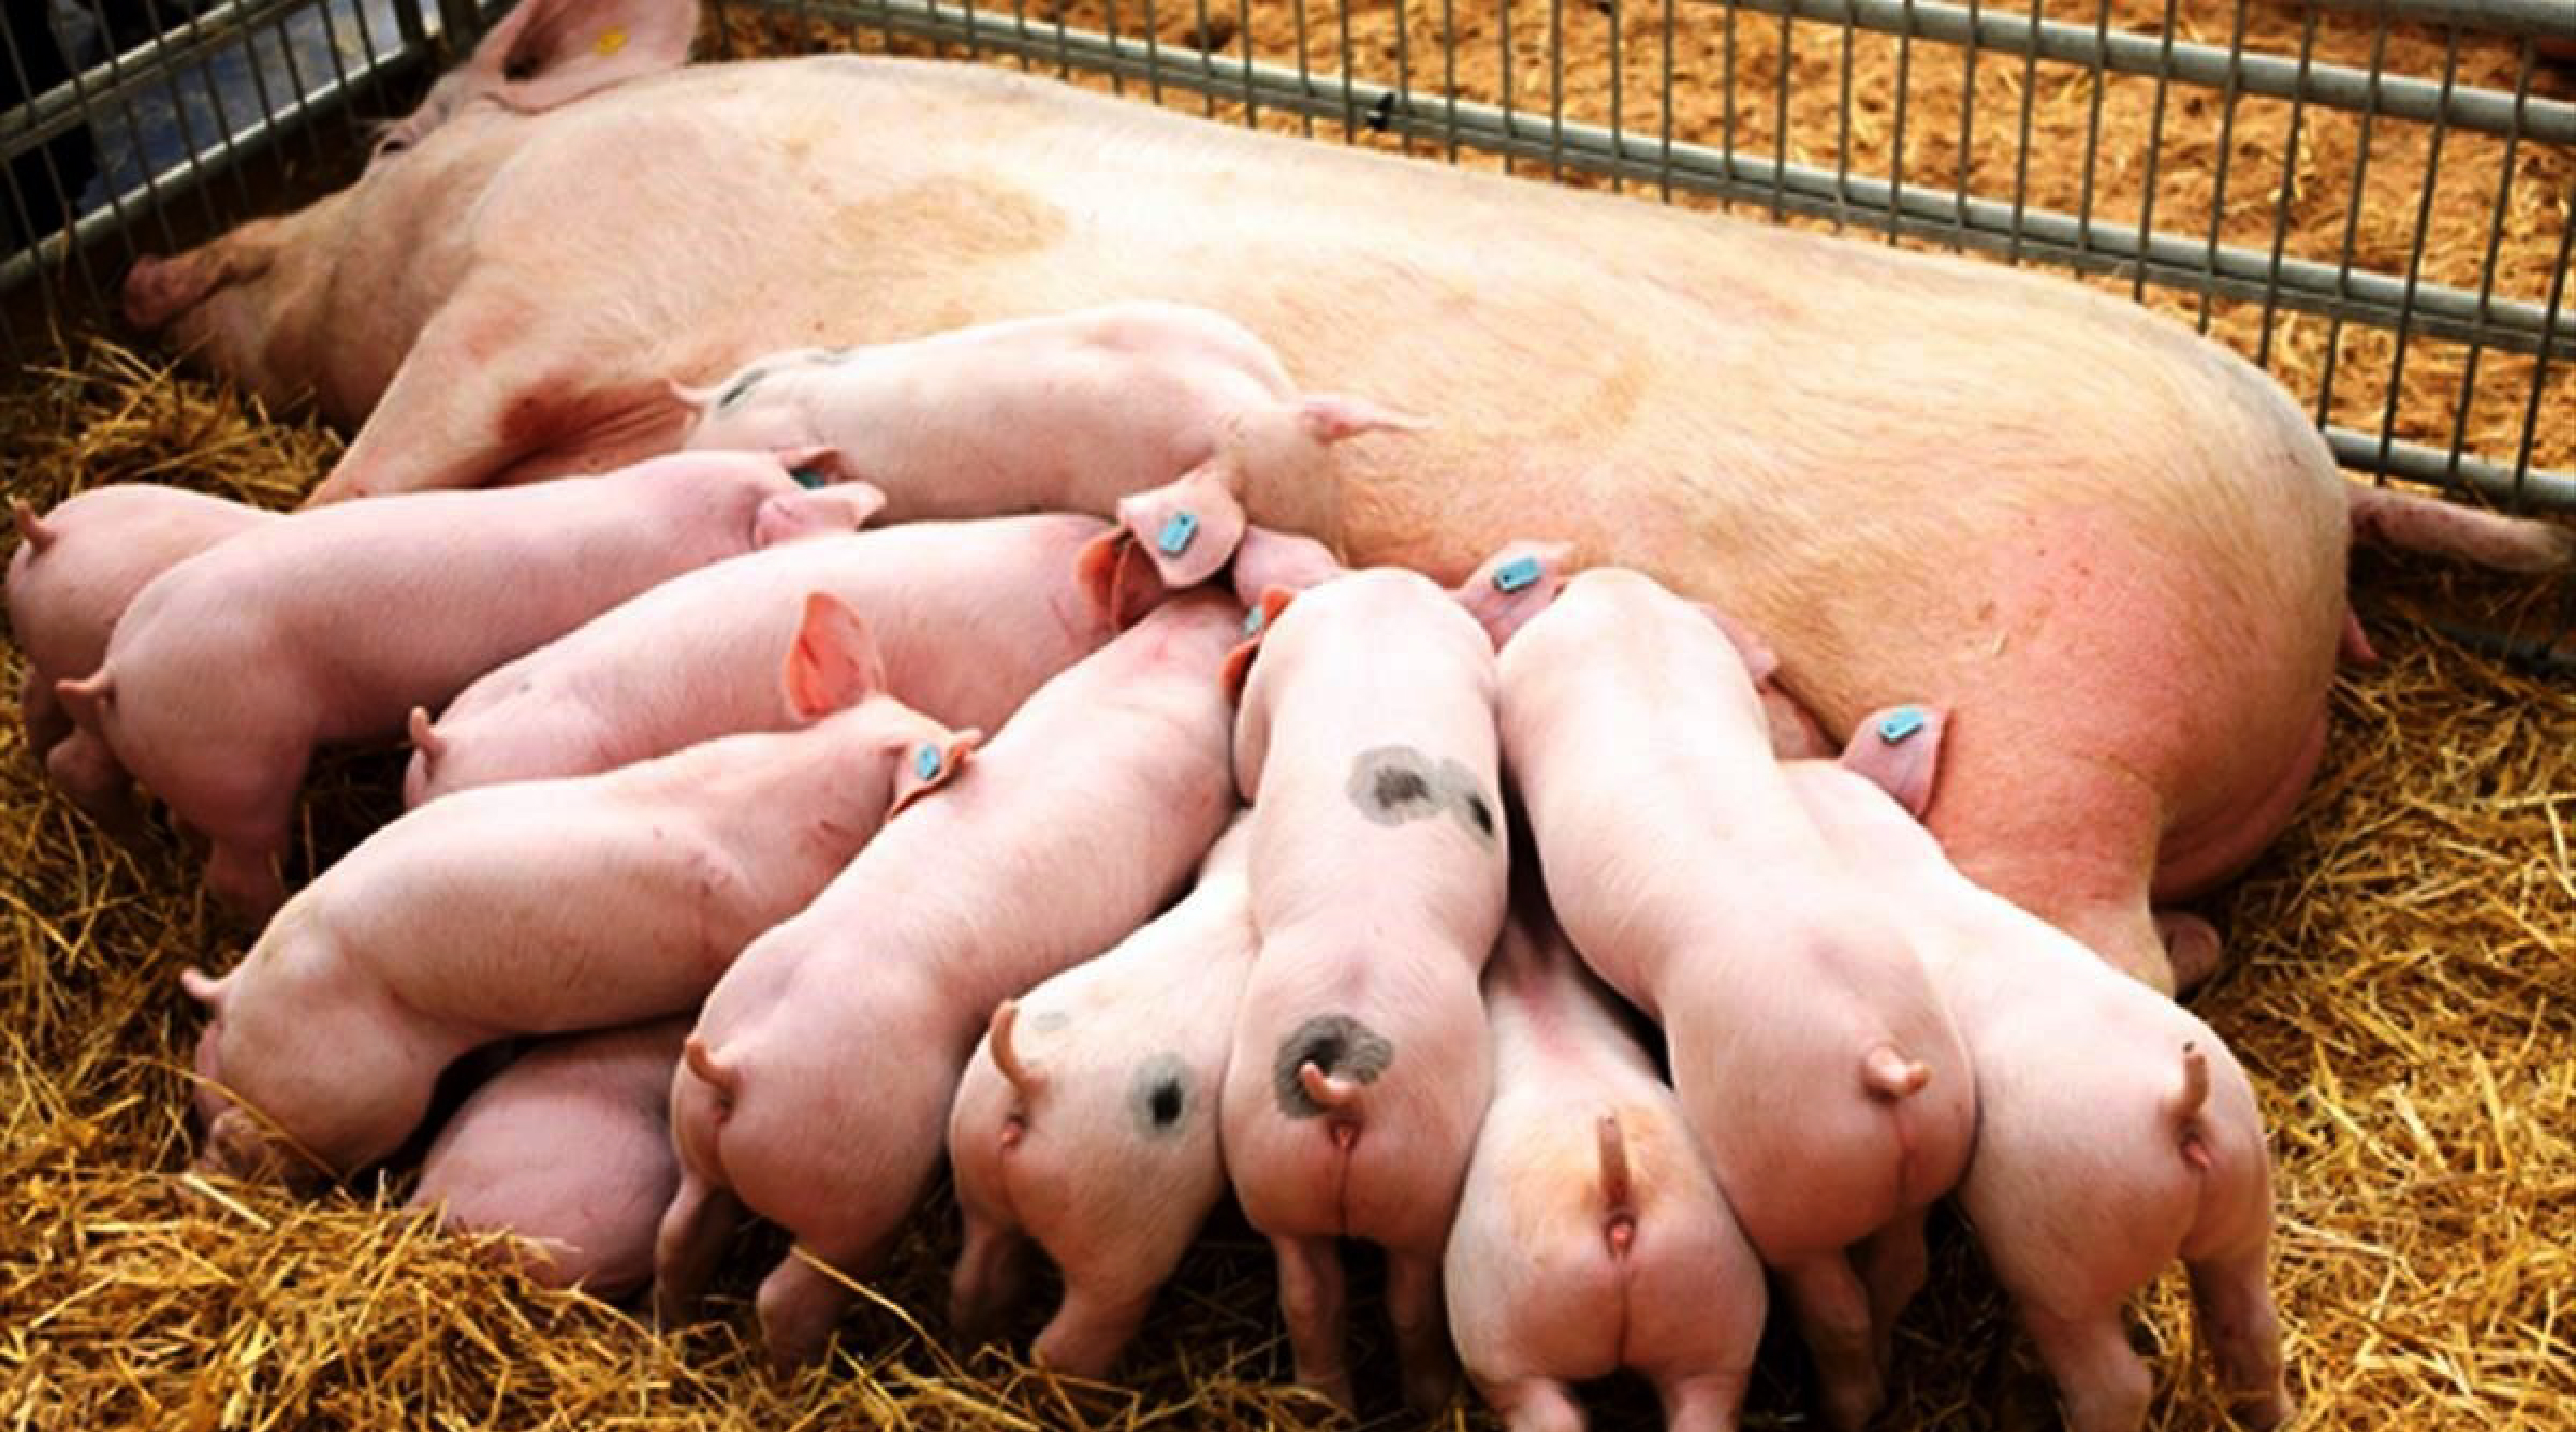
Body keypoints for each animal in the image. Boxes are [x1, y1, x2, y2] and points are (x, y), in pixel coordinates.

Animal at [6, 486, 273, 834]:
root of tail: (50, 536)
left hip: (53, 660)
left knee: (35, 707)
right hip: (101, 703)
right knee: (79, 771)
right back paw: (147, 839)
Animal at [1217, 567, 1511, 1412]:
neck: (1384, 604)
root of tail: (1343, 1083)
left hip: (1299, 1159)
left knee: (1333, 1293)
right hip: (1376, 1167)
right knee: (1369, 1296)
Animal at [1498, 568, 1976, 1432]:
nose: (1598, 575)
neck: (1631, 623)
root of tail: (1880, 1056)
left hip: (1779, 1176)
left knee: (1833, 1305)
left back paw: (1844, 1407)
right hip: (1933, 1139)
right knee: (1900, 1270)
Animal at [1787, 745, 2290, 1432]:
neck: (1868, 854)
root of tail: (2177, 1102)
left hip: (2061, 1262)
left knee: (2115, 1384)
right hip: (2243, 1202)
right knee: (2252, 1326)